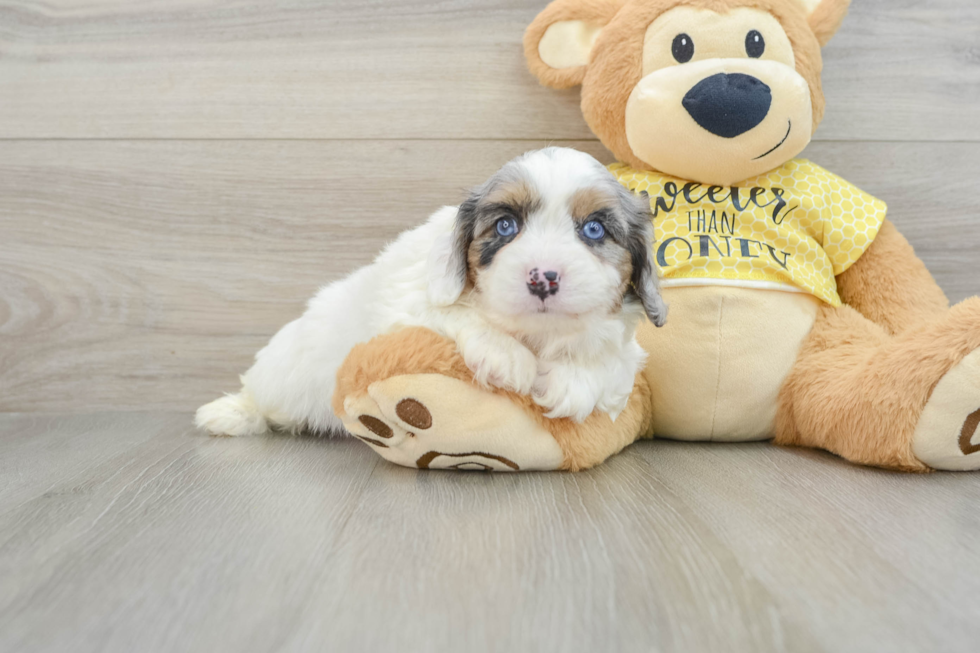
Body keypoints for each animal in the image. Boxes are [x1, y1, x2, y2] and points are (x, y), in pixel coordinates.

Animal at [195, 146, 668, 438]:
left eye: (594, 230)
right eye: (505, 226)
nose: (542, 278)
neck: (537, 335)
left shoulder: (625, 352)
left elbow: (612, 359)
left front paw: (574, 380)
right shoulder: (405, 303)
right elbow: (450, 312)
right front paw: (506, 356)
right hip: (281, 375)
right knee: (258, 397)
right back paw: (228, 414)